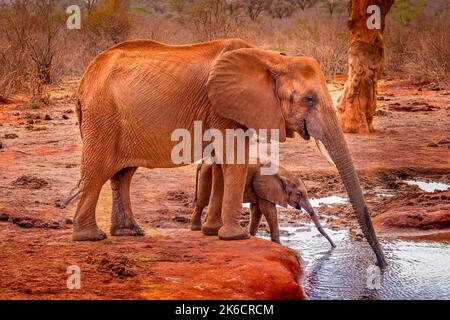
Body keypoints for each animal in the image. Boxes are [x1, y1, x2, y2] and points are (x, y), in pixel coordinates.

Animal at [192, 164, 336, 246]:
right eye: (299, 194)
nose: (333, 246)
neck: (284, 173)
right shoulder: (266, 187)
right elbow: (268, 209)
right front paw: (279, 244)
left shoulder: (261, 189)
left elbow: (257, 210)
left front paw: (251, 235)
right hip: (206, 174)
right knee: (202, 200)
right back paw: (198, 228)